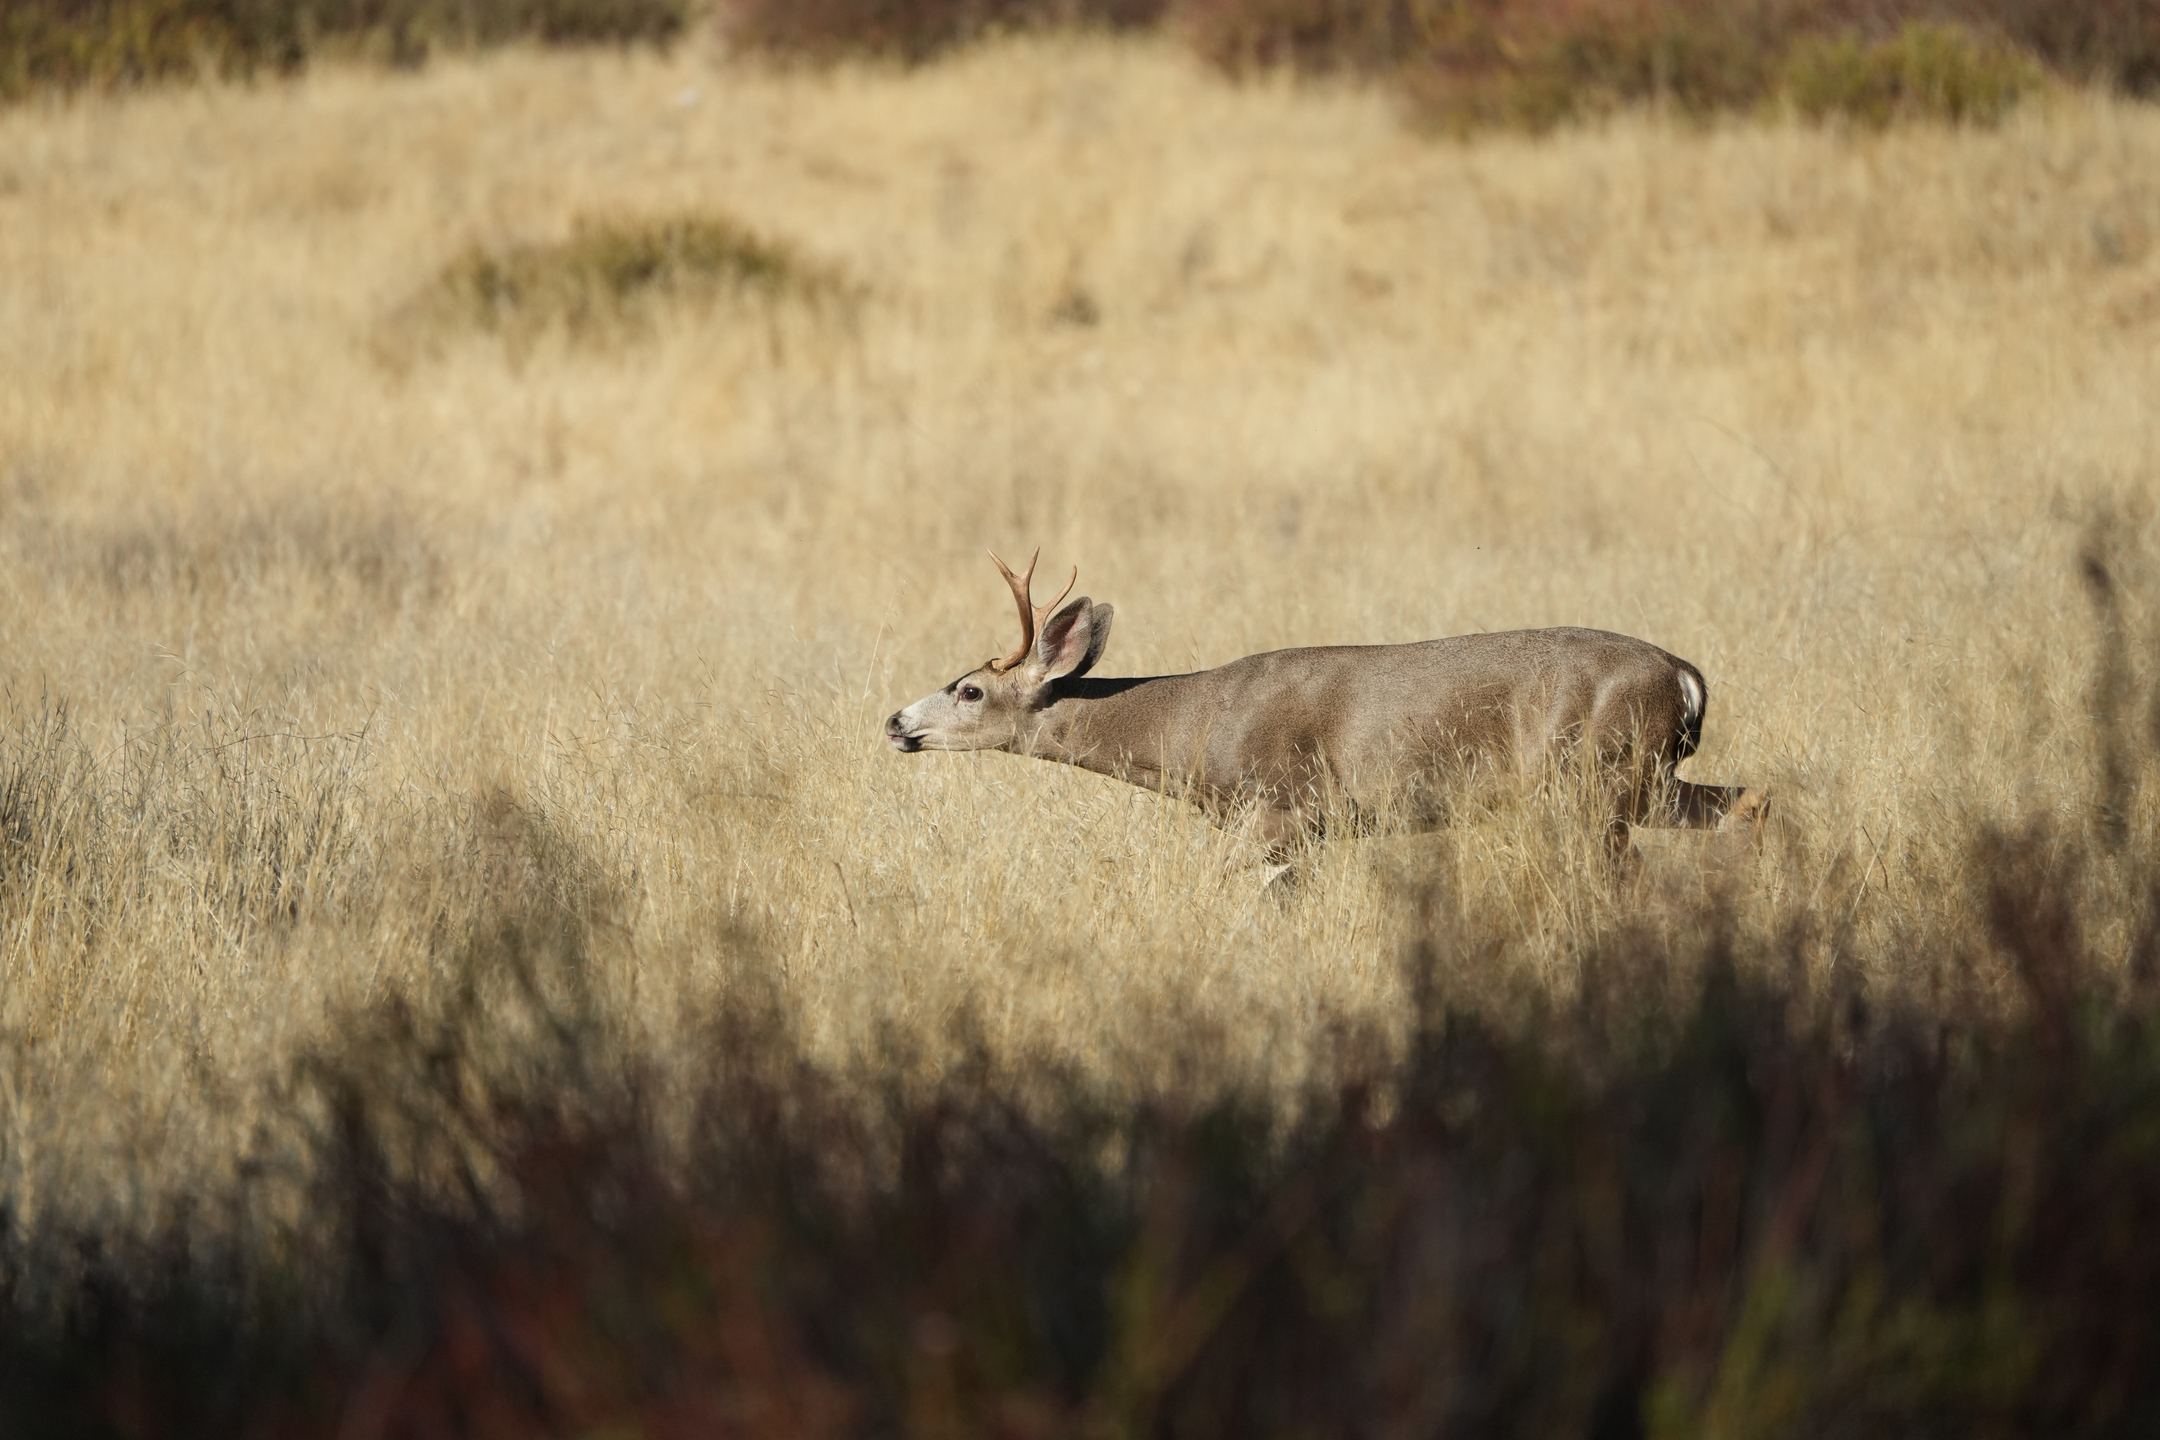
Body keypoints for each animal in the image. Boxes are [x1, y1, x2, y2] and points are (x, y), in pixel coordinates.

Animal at [884, 551, 1768, 878]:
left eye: (969, 688)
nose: (895, 721)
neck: (1192, 731)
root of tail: (1684, 676)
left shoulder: (1284, 808)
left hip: (1595, 775)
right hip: (1646, 777)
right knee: (1750, 801)